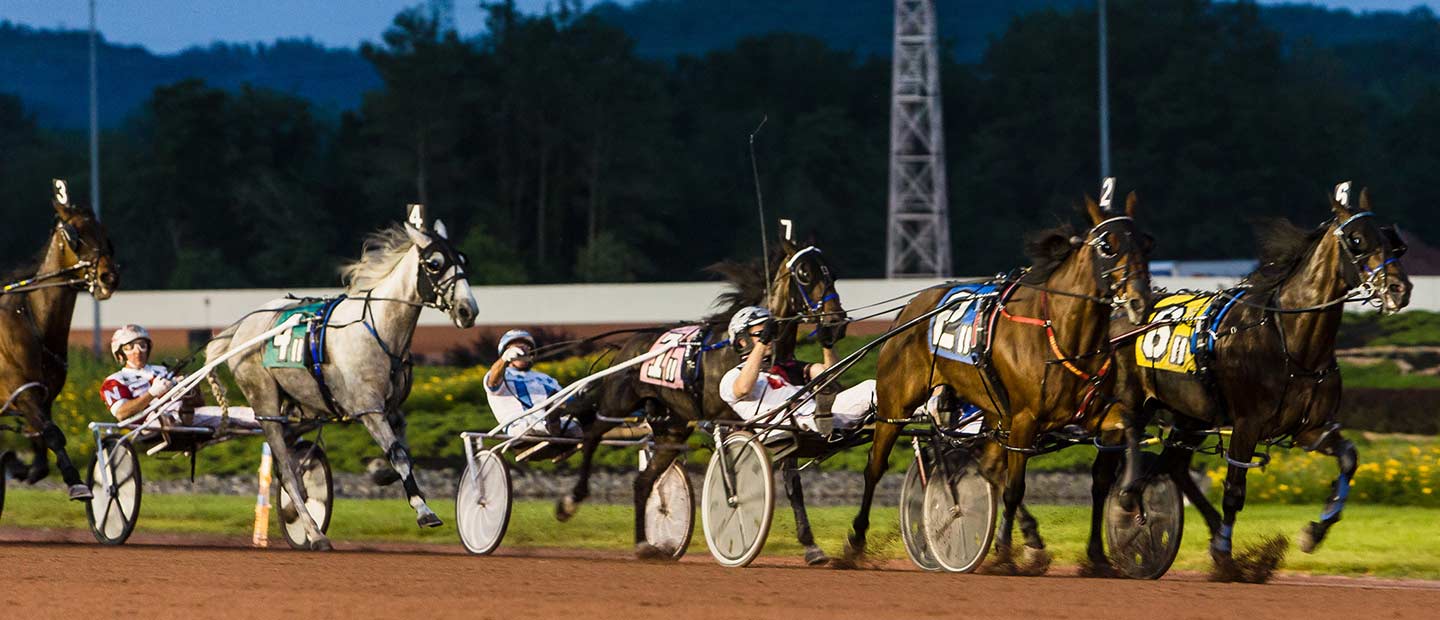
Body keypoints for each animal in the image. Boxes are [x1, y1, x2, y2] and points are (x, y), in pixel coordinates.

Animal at [0, 179, 119, 506]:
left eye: (105, 232)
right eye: (75, 233)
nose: (108, 277)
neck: (31, 321)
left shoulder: (42, 395)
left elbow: (40, 441)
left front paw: (20, 467)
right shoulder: (20, 390)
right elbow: (53, 434)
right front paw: (77, 484)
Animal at [207, 205, 478, 552]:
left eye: (463, 259)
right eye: (434, 263)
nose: (468, 310)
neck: (380, 332)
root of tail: (242, 327)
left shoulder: (392, 409)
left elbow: (403, 451)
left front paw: (383, 472)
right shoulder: (368, 409)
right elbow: (399, 455)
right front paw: (424, 510)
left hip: (300, 406)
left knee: (291, 461)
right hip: (265, 402)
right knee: (286, 470)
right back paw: (314, 533)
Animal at [547, 240, 840, 566]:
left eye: (831, 271)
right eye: (805, 273)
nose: (834, 322)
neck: (740, 352)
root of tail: (629, 345)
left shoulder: (777, 421)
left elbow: (792, 481)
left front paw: (811, 546)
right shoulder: (733, 421)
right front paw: (734, 511)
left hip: (672, 428)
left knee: (643, 481)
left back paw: (644, 543)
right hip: (618, 402)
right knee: (592, 435)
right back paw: (570, 502)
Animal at [846, 189, 1152, 572]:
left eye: (1146, 243)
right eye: (1108, 246)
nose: (1141, 302)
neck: (1061, 334)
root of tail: (910, 307)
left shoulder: (1092, 414)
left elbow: (1119, 445)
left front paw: (1120, 511)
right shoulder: (1025, 419)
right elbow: (1015, 487)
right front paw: (1004, 553)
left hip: (991, 409)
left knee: (989, 466)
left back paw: (1031, 538)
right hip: (895, 405)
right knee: (875, 467)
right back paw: (856, 542)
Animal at [1088, 184, 1405, 581]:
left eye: (1392, 239)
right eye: (1357, 239)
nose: (1400, 289)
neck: (1289, 339)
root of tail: (1121, 312)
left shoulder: (1311, 428)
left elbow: (1348, 458)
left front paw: (1314, 532)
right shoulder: (1246, 424)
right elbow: (1234, 491)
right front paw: (1225, 554)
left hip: (1192, 415)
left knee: (1172, 466)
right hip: (1128, 407)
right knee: (1105, 475)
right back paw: (1108, 542)